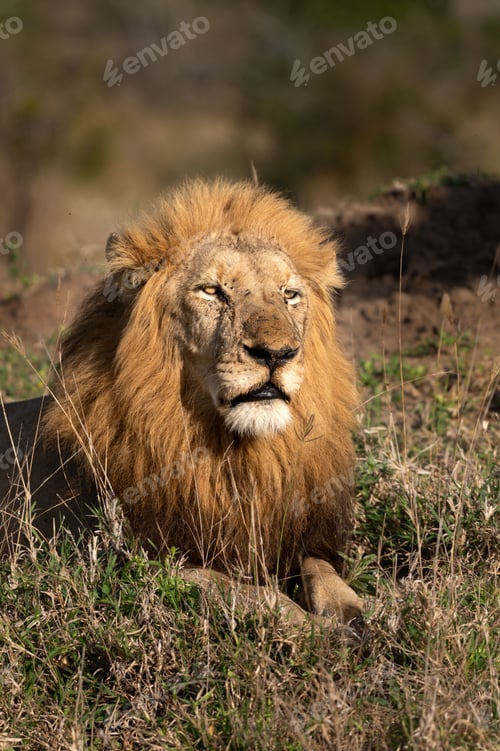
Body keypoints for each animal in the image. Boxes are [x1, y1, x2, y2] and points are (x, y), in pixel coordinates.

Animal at [0, 178, 362, 623]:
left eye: (290, 295)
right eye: (212, 291)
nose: (277, 354)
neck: (236, 453)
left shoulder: (301, 534)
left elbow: (325, 573)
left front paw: (354, 619)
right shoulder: (144, 561)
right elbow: (254, 595)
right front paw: (310, 627)